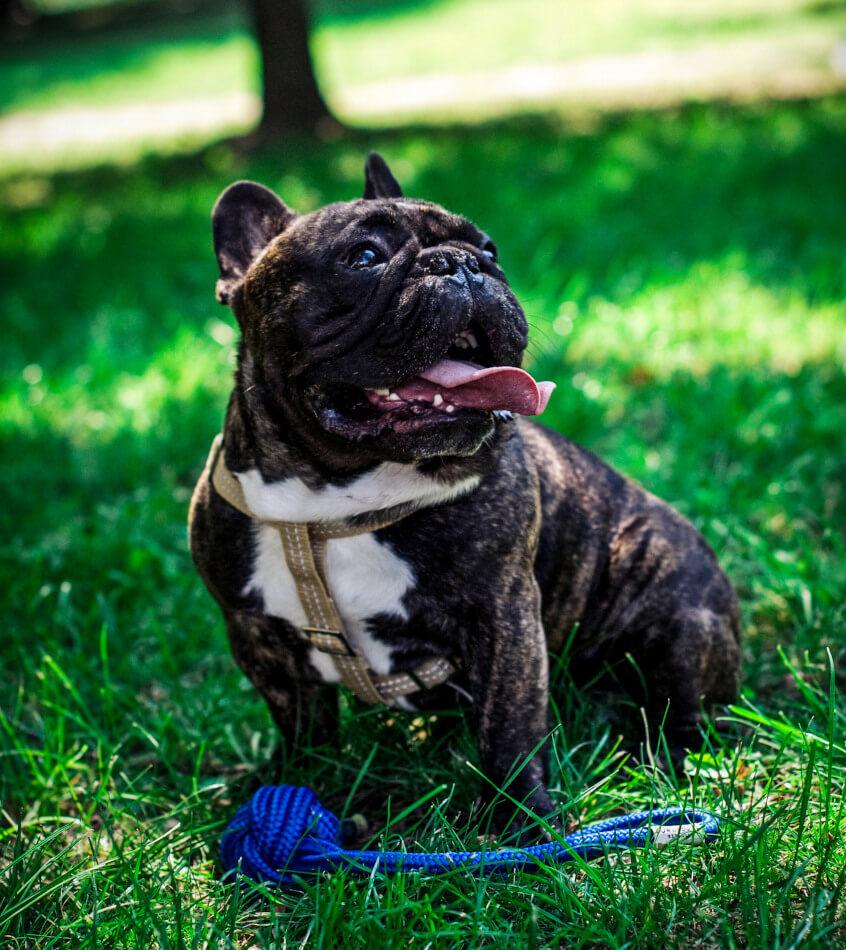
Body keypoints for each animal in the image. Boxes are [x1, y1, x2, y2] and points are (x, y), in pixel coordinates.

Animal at [187, 156, 744, 832]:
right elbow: (300, 720)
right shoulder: (256, 633)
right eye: (364, 256)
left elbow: (509, 728)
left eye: (491, 248)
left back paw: (665, 762)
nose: (462, 264)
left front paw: (519, 823)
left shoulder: (504, 615)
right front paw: (297, 780)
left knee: (683, 712)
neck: (335, 497)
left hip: (679, 622)